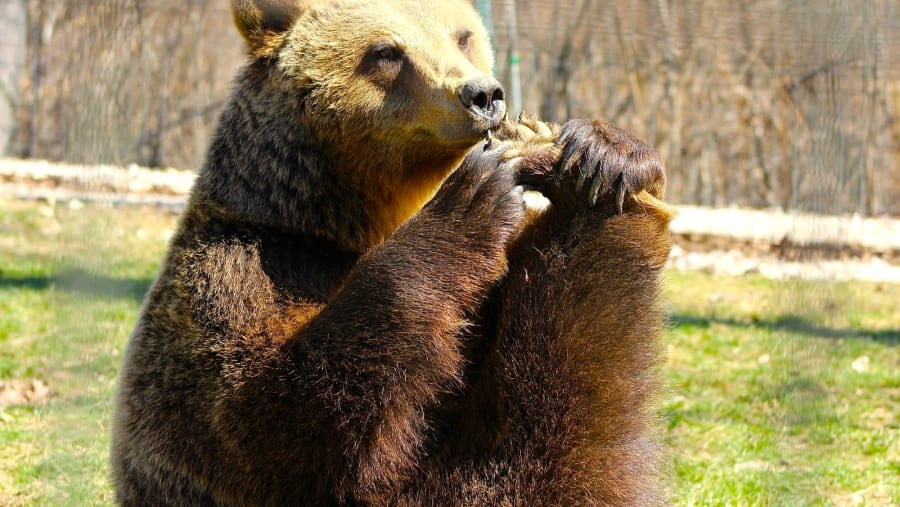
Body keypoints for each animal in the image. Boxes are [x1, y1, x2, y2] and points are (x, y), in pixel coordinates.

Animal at [110, 0, 673, 505]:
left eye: (462, 36)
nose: (482, 95)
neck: (349, 223)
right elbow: (273, 414)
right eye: (385, 52)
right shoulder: (246, 269)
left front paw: (606, 150)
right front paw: (473, 198)